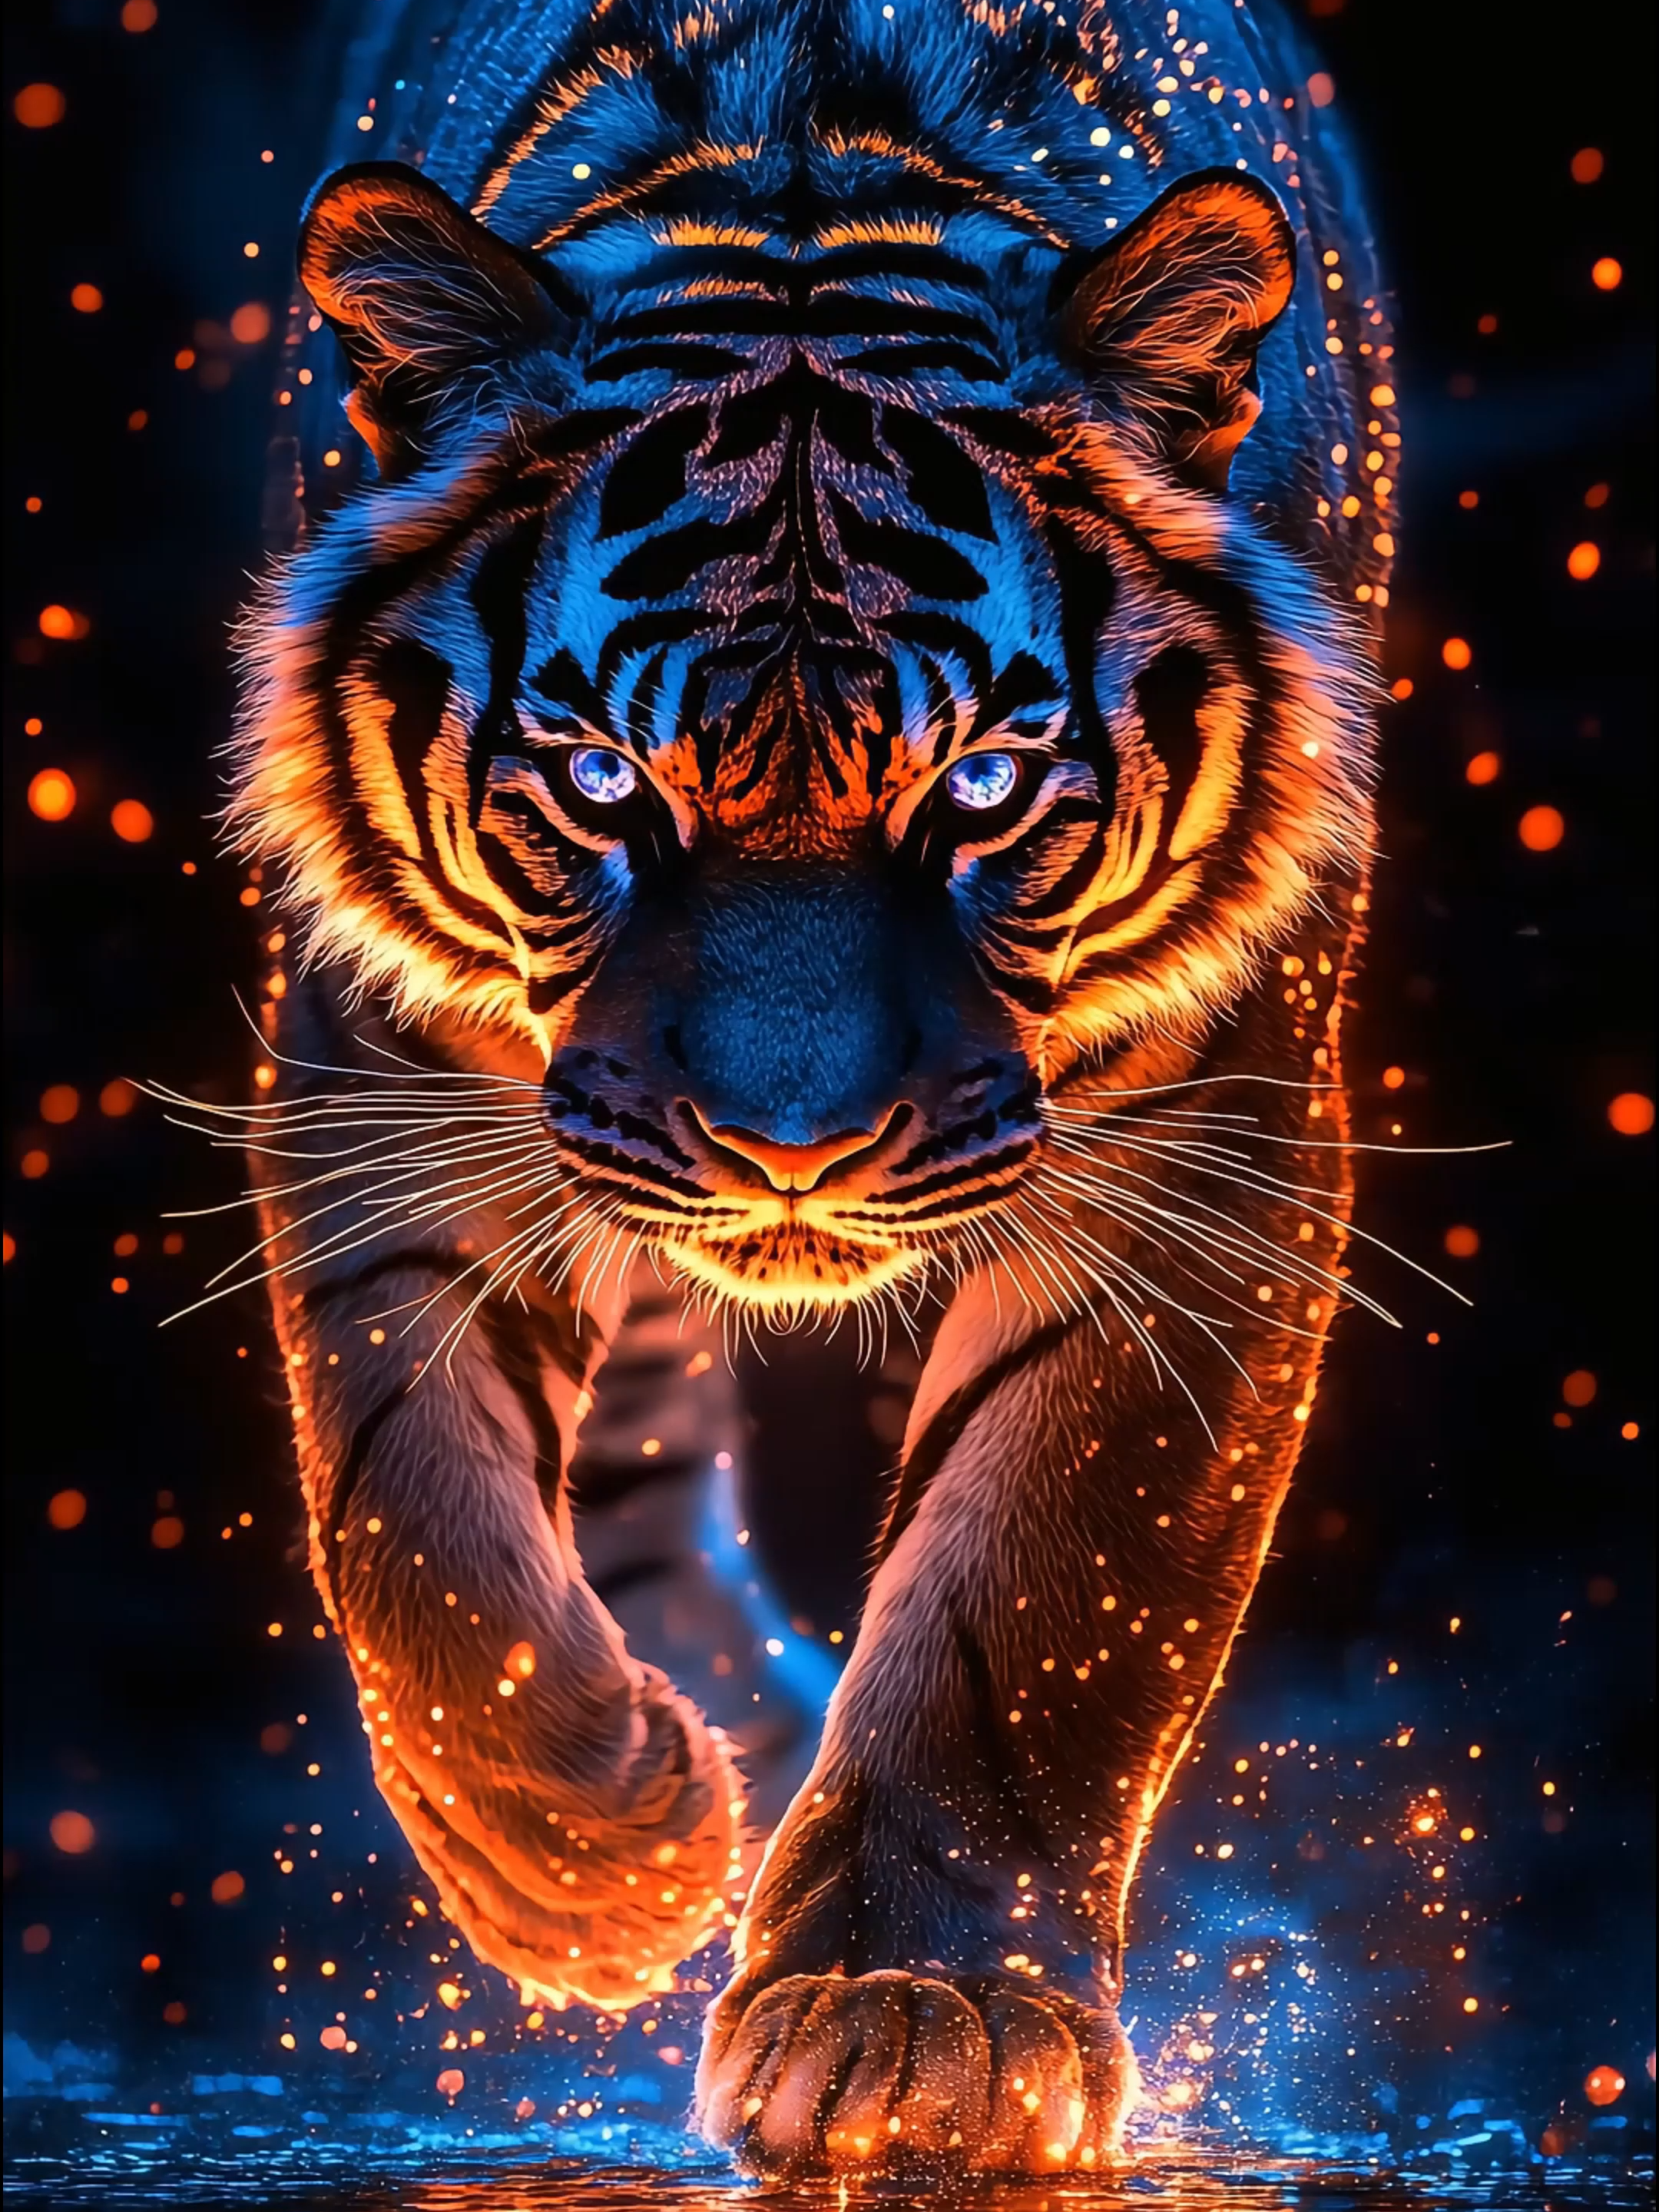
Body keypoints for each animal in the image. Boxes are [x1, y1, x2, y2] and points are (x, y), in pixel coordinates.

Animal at [226, 0, 1395, 2174]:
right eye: (604, 782)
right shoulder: (382, 1067)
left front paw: (915, 2015)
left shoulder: (1210, 1145)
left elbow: (1036, 1586)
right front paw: (592, 1864)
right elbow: (411, 1506)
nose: (794, 1152)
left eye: (985, 789)